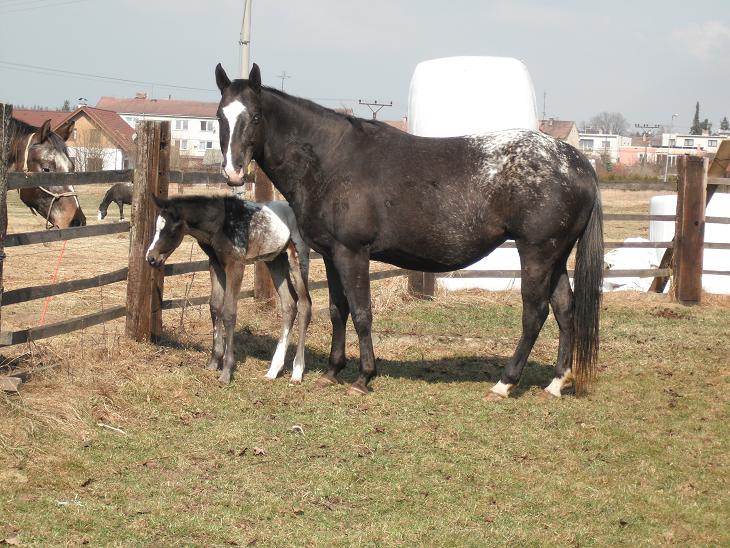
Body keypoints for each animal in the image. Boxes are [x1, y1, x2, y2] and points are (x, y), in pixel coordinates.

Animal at [145, 195, 310, 384]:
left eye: (170, 230)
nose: (151, 258)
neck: (220, 225)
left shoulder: (235, 265)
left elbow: (229, 311)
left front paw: (226, 371)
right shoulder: (215, 263)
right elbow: (215, 306)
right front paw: (213, 362)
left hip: (298, 259)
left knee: (305, 305)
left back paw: (297, 372)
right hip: (275, 260)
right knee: (289, 304)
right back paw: (273, 370)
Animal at [215, 63, 604, 398]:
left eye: (255, 116)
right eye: (221, 116)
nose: (233, 172)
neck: (332, 160)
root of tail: (577, 161)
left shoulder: (352, 253)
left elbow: (362, 312)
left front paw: (363, 377)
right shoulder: (331, 254)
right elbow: (338, 310)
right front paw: (331, 372)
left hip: (536, 252)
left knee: (534, 313)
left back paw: (505, 383)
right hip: (555, 255)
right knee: (564, 309)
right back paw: (556, 382)